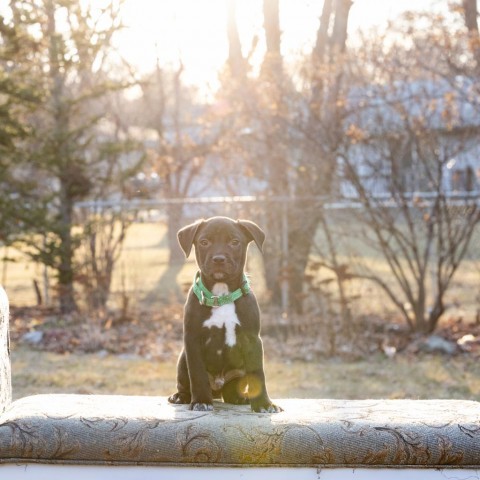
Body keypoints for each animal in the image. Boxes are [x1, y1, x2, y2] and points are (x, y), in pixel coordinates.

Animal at [168, 217, 282, 412]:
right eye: (204, 242)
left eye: (235, 242)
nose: (219, 259)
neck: (221, 295)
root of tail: (217, 387)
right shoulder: (193, 340)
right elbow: (197, 374)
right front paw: (201, 401)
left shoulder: (252, 340)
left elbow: (258, 373)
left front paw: (264, 404)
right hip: (183, 359)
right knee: (185, 382)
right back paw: (181, 396)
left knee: (231, 392)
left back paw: (240, 398)